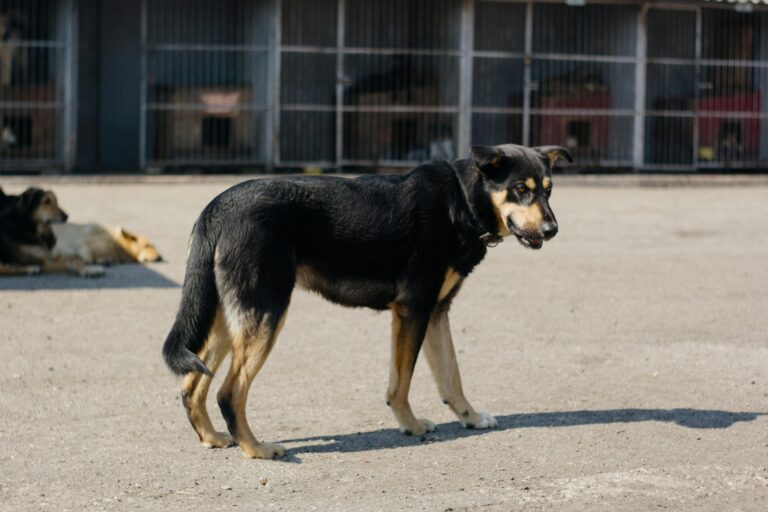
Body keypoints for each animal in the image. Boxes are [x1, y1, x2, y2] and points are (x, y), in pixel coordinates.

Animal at [162, 144, 568, 460]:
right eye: (520, 189)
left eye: (549, 191)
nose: (552, 230)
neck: (462, 200)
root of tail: (216, 207)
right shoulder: (413, 311)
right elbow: (402, 383)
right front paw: (411, 425)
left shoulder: (436, 312)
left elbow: (451, 376)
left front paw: (469, 418)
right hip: (266, 312)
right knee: (229, 392)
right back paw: (257, 448)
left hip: (229, 316)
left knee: (192, 384)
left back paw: (212, 437)